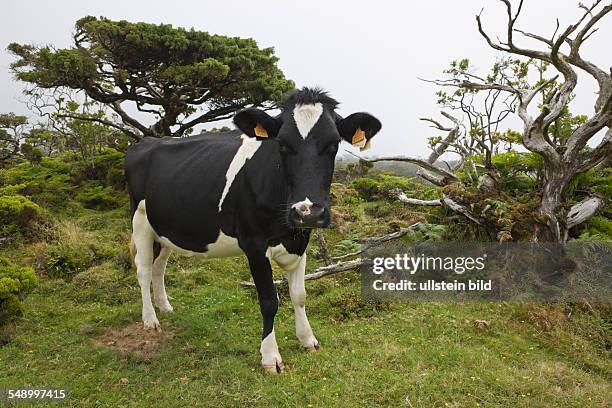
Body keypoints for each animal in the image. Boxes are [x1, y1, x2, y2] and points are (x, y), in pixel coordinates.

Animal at [124, 87, 380, 372]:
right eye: (282, 144)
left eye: (333, 144)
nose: (307, 211)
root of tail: (147, 141)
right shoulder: (254, 244)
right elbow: (269, 301)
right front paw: (270, 358)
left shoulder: (300, 239)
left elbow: (299, 295)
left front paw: (308, 340)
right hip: (140, 221)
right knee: (144, 269)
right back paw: (150, 319)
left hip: (166, 227)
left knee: (159, 267)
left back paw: (165, 307)